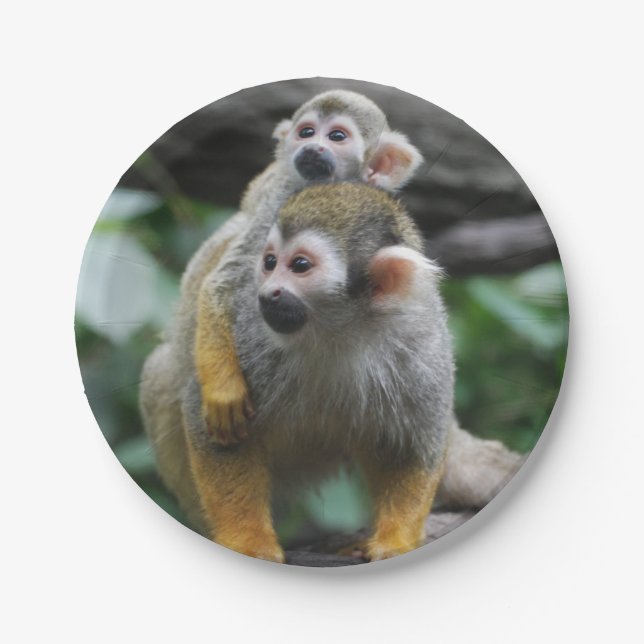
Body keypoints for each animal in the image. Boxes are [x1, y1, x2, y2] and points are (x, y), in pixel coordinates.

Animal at [142, 182, 453, 563]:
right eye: (270, 262)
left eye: (300, 265)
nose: (267, 293)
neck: (340, 330)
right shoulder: (251, 333)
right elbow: (212, 423)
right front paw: (247, 540)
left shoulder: (423, 346)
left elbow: (414, 445)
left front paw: (396, 541)